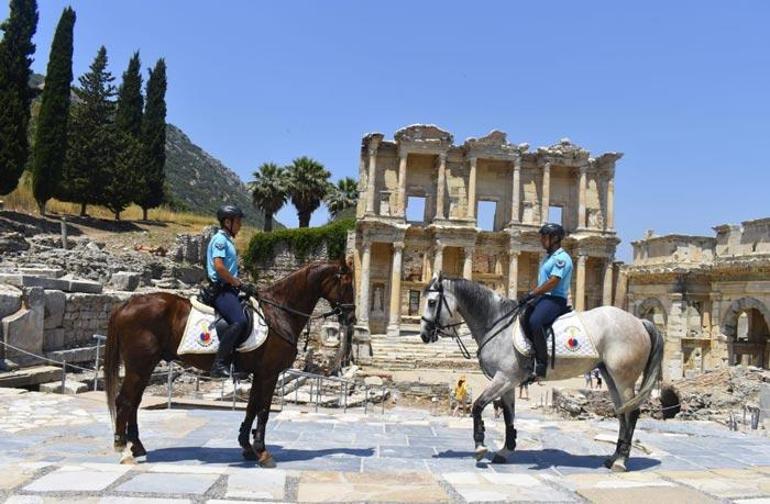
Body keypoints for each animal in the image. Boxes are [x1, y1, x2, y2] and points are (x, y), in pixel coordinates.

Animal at [103, 262, 354, 466]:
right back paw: (122, 449)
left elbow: (252, 407)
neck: (279, 312)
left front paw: (247, 447)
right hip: (139, 366)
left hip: (144, 367)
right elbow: (263, 410)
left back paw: (137, 446)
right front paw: (262, 452)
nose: (351, 318)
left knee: (134, 402)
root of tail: (127, 303)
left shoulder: (259, 373)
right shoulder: (270, 373)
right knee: (124, 402)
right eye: (347, 284)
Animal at [416, 274, 664, 470]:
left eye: (431, 302)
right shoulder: (509, 381)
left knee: (632, 413)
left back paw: (621, 461)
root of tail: (640, 321)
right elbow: (509, 415)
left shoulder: (504, 377)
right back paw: (613, 458)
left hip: (623, 377)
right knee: (622, 413)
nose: (424, 334)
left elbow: (477, 406)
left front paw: (480, 446)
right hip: (610, 375)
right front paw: (506, 449)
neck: (497, 324)